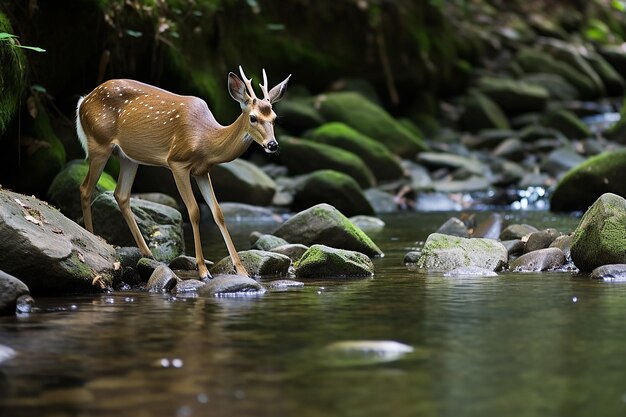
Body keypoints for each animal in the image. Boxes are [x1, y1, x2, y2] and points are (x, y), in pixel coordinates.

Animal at [75, 66, 290, 278]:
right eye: (253, 117)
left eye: (275, 119)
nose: (272, 145)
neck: (205, 139)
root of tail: (83, 101)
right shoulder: (177, 162)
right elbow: (194, 211)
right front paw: (203, 270)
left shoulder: (202, 171)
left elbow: (218, 212)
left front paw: (242, 270)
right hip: (99, 143)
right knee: (85, 188)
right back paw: (92, 238)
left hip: (128, 157)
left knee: (121, 195)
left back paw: (147, 253)